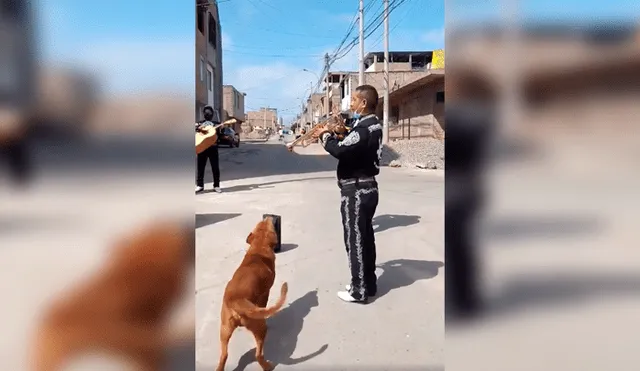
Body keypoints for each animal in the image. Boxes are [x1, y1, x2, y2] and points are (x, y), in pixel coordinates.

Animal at [218, 217, 290, 371]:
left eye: (261, 224)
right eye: (270, 225)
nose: (268, 217)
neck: (258, 249)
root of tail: (236, 301)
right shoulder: (265, 293)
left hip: (224, 330)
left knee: (224, 356)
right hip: (259, 328)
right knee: (258, 354)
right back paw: (267, 366)